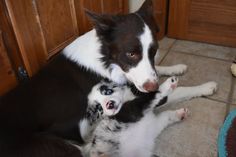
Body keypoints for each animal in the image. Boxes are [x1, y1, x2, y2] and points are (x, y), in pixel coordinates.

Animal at [0, 0, 218, 156]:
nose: (152, 86)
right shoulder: (130, 99)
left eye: (154, 51)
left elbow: (157, 71)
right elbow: (173, 91)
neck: (106, 58)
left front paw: (176, 68)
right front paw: (205, 87)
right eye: (131, 54)